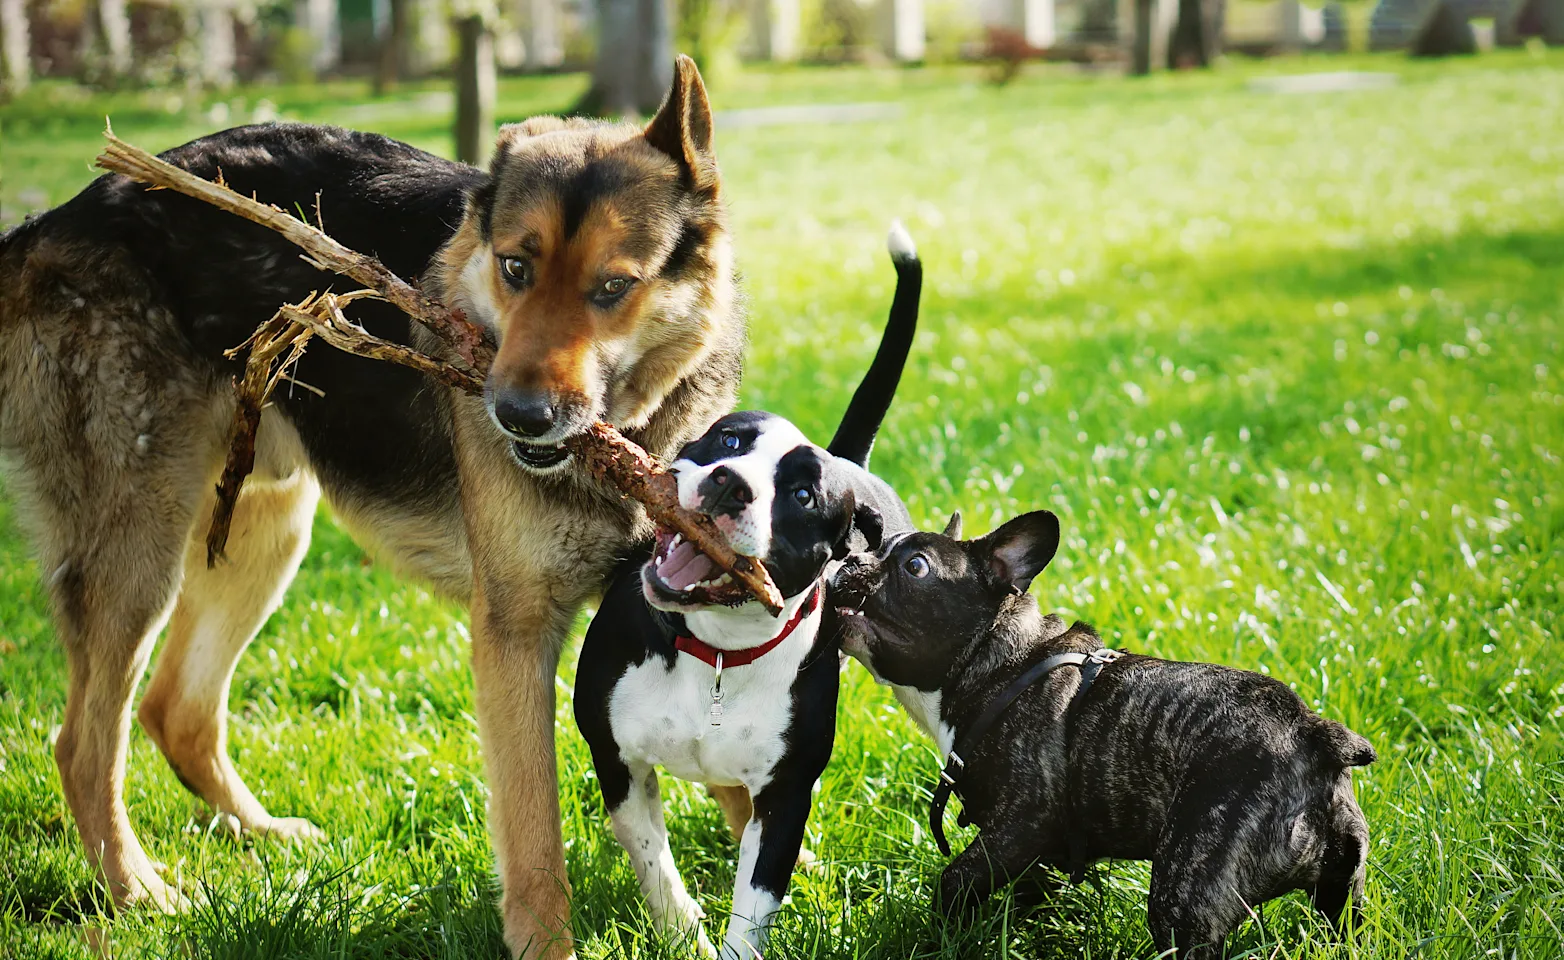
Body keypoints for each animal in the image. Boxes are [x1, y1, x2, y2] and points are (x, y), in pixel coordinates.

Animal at [0, 58, 738, 956]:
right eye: (515, 269)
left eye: (613, 288)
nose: (516, 417)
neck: (632, 438)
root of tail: (52, 222)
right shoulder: (513, 639)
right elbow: (536, 841)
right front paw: (548, 943)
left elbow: (739, 786)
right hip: (143, 553)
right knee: (83, 744)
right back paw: (140, 891)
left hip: (264, 530)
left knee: (177, 709)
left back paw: (262, 836)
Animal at [572, 223, 913, 956]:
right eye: (728, 439)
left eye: (804, 495)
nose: (731, 484)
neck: (717, 652)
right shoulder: (619, 764)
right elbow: (655, 865)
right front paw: (682, 935)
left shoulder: (785, 798)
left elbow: (754, 902)